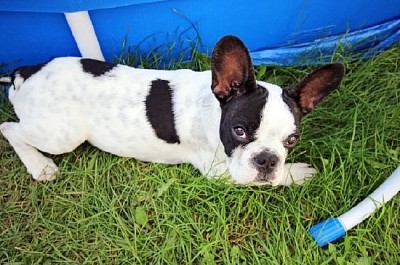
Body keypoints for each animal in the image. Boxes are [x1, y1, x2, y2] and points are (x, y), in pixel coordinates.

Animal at [0, 35, 344, 184]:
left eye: (291, 140)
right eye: (239, 131)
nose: (268, 161)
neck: (213, 112)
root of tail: (26, 73)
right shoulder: (220, 172)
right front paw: (295, 173)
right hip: (61, 135)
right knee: (9, 128)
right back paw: (39, 165)